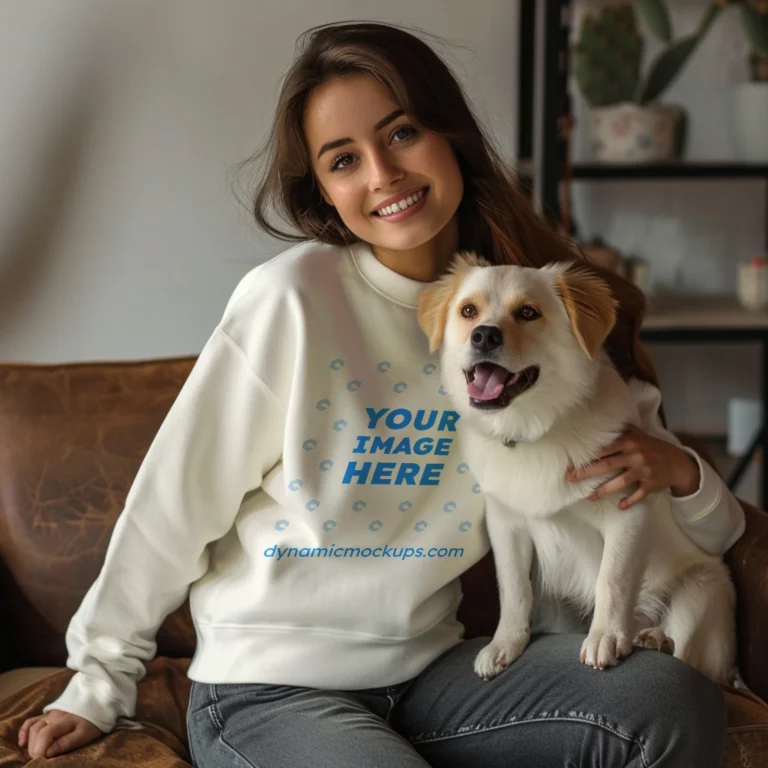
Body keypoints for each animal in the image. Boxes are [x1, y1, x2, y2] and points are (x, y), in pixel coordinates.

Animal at [420, 252, 736, 684]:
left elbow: (612, 580)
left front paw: (606, 637)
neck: (533, 430)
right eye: (468, 311)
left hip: (701, 591)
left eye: (528, 312)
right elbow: (514, 588)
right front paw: (505, 643)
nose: (483, 336)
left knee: (692, 657)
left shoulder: (627, 512)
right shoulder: (506, 525)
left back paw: (654, 639)